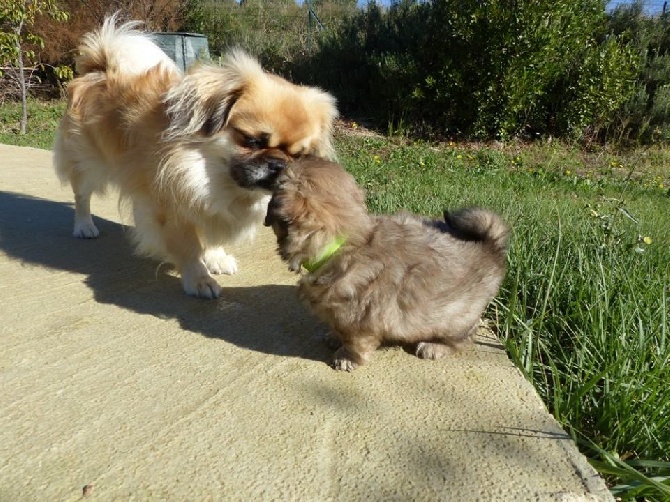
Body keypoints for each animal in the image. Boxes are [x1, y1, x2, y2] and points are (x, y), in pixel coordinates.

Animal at [53, 15, 338, 298]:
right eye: (253, 141)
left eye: (298, 156)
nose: (279, 164)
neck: (213, 174)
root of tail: (99, 67)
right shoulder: (172, 210)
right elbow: (189, 248)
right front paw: (199, 279)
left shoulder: (206, 206)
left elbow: (209, 237)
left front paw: (216, 258)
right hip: (85, 164)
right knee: (81, 196)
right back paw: (84, 226)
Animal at [262, 159, 510, 370]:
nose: (277, 165)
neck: (345, 243)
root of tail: (490, 247)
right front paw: (334, 336)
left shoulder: (361, 322)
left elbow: (355, 343)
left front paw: (346, 358)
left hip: (455, 318)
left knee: (463, 339)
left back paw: (434, 346)